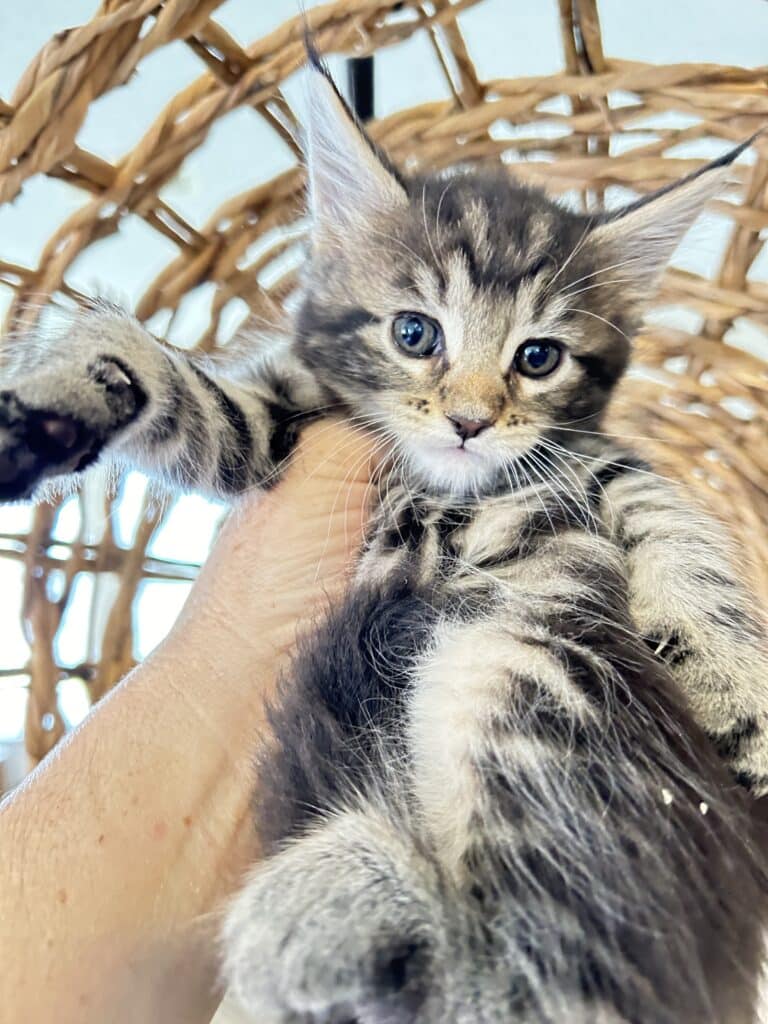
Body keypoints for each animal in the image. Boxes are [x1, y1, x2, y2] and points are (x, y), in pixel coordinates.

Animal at [1, 54, 768, 1024]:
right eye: (415, 333)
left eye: (539, 358)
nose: (471, 421)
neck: (445, 487)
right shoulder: (275, 426)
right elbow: (169, 381)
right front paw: (57, 399)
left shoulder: (589, 453)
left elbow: (665, 508)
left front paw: (735, 684)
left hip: (517, 679)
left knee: (537, 969)